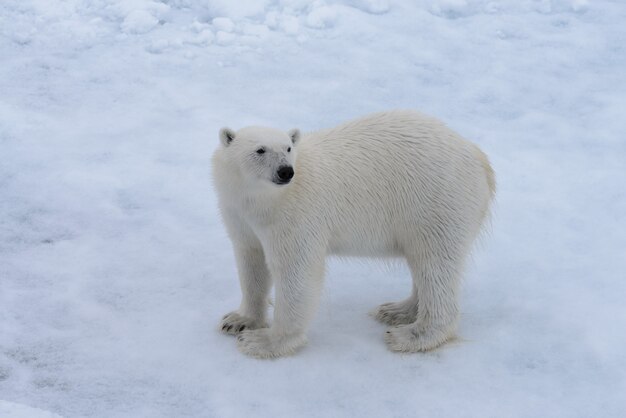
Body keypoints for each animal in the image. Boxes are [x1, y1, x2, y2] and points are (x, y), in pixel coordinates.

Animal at [212, 111, 494, 360]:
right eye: (260, 150)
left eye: (289, 148)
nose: (285, 171)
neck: (264, 200)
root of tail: (479, 158)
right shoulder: (240, 215)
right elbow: (251, 262)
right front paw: (238, 320)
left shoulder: (295, 214)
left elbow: (297, 271)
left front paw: (262, 341)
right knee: (422, 264)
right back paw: (396, 310)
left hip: (436, 202)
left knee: (434, 263)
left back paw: (410, 335)